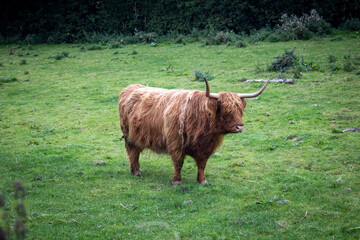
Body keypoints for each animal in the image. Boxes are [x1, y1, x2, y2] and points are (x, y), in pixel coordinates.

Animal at [119, 79, 268, 186]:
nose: (239, 127)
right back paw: (136, 172)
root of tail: (130, 87)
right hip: (129, 135)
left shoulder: (206, 148)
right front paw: (177, 181)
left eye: (240, 110)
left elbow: (202, 164)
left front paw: (202, 181)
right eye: (226, 110)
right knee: (132, 152)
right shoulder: (176, 142)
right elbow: (178, 162)